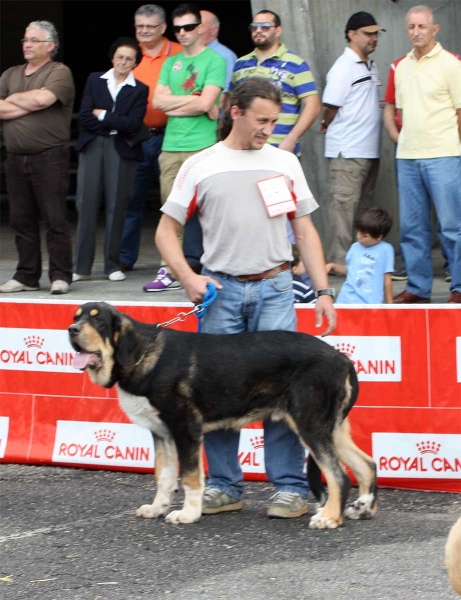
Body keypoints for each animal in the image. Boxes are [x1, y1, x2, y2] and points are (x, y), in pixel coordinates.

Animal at [69, 302, 378, 528]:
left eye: (98, 321)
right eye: (77, 317)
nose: (71, 330)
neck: (142, 356)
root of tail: (343, 359)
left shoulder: (186, 429)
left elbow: (191, 478)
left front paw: (188, 514)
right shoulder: (162, 433)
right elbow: (164, 477)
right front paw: (157, 508)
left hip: (310, 424)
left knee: (339, 475)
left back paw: (329, 518)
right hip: (331, 428)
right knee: (367, 464)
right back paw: (364, 508)